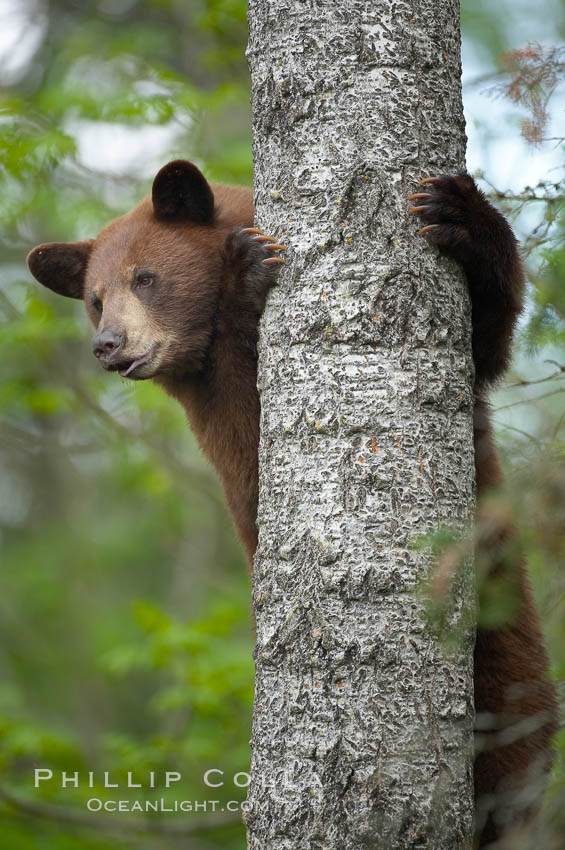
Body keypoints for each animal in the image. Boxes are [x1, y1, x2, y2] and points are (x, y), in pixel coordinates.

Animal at [26, 157, 556, 840]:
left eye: (145, 278)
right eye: (95, 300)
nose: (108, 344)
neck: (203, 348)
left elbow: (486, 344)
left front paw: (456, 210)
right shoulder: (214, 410)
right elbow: (251, 420)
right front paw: (250, 270)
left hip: (508, 622)